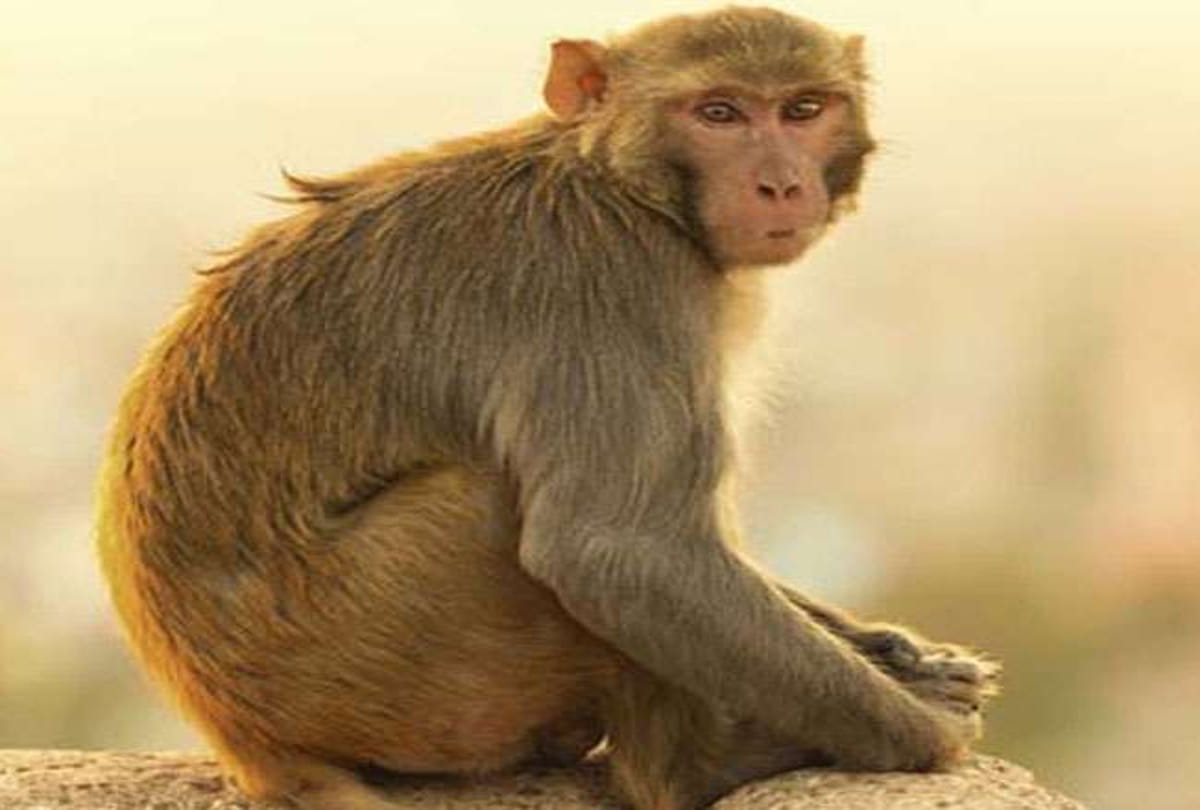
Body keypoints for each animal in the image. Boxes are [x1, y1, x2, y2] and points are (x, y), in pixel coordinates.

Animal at [96, 7, 999, 810]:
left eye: (804, 109)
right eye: (719, 113)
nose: (780, 182)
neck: (623, 185)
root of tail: (246, 743)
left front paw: (896, 652)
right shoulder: (614, 287)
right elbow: (619, 550)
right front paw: (924, 734)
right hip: (383, 666)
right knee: (514, 515)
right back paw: (696, 767)